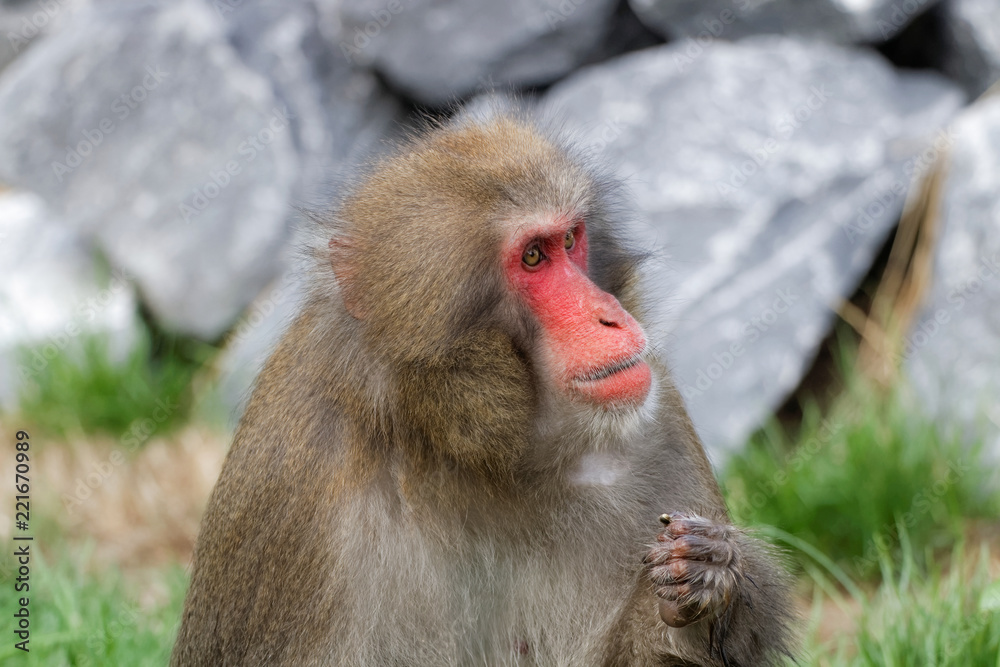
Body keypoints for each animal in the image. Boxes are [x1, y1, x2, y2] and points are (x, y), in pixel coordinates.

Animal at [172, 113, 797, 666]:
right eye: (533, 256)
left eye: (571, 240)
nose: (610, 316)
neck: (474, 456)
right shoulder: (295, 500)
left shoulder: (657, 427)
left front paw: (710, 581)